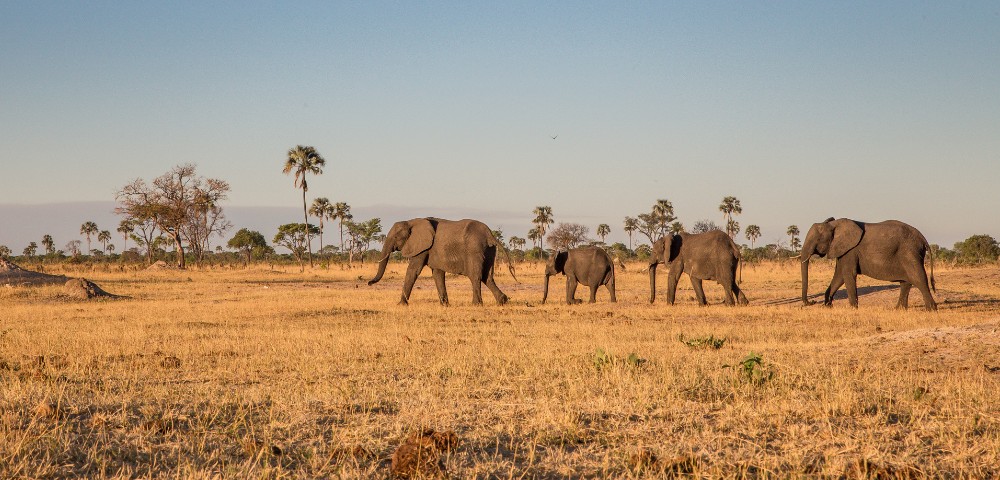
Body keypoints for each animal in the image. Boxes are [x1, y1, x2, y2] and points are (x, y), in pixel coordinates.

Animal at [367, 218, 515, 305]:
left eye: (396, 237)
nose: (369, 283)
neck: (411, 221)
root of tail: (490, 234)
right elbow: (437, 273)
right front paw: (445, 305)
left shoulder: (422, 247)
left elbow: (413, 270)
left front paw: (401, 304)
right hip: (490, 250)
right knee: (487, 277)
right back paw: (502, 301)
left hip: (474, 249)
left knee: (475, 276)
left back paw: (476, 304)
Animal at [800, 218, 936, 311]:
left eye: (817, 240)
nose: (811, 302)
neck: (834, 225)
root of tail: (923, 239)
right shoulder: (843, 250)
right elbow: (839, 276)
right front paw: (828, 306)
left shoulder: (850, 250)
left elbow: (848, 274)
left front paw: (853, 309)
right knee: (906, 282)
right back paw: (898, 310)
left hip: (910, 251)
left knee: (918, 278)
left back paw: (931, 309)